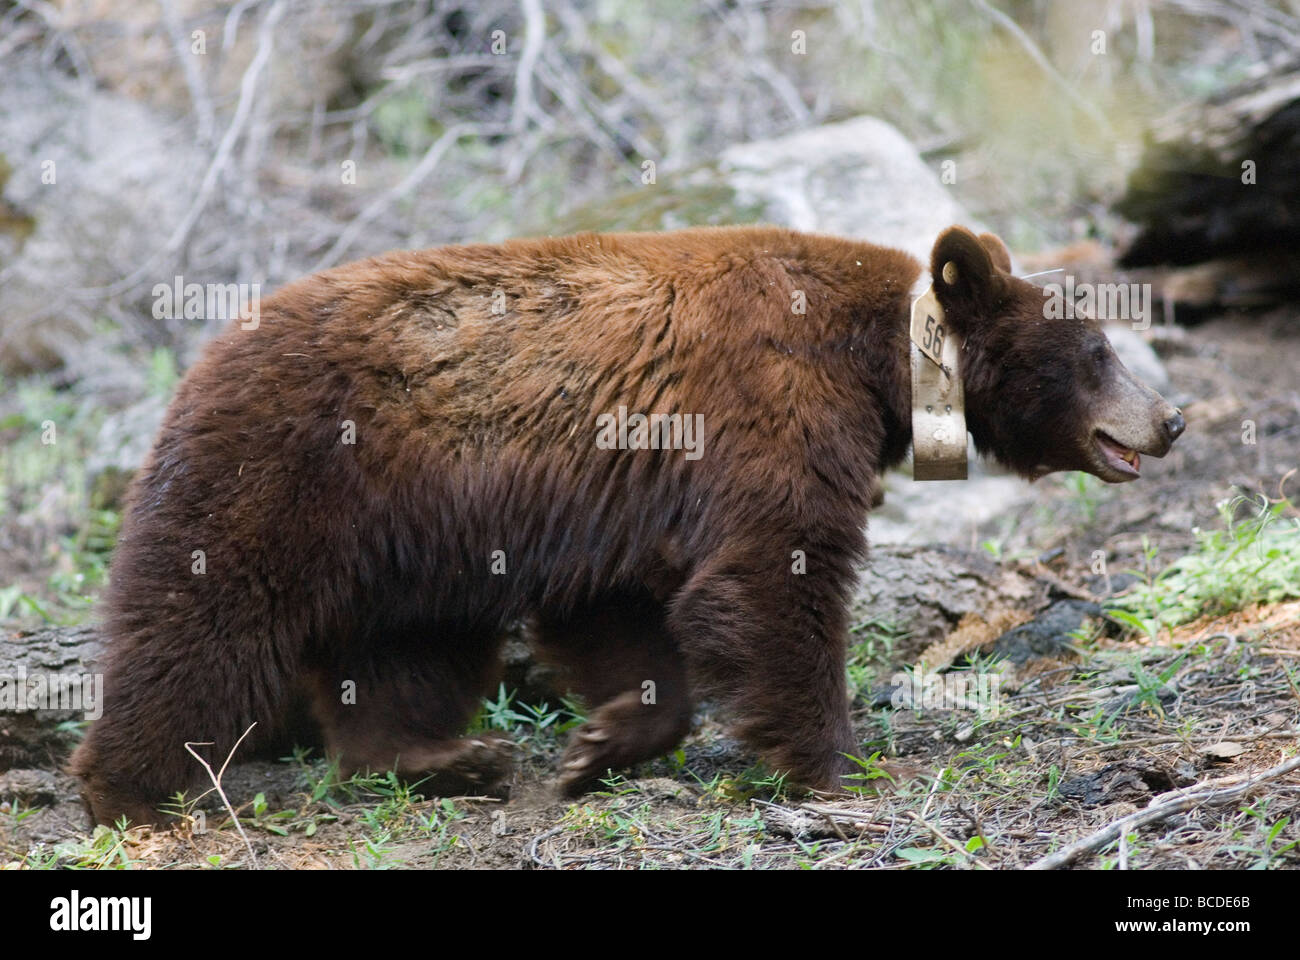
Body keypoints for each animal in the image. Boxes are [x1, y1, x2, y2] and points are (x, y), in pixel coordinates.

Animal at [73, 223, 1190, 822]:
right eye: (1096, 349)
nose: (1170, 418)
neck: (876, 361)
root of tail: (210, 350)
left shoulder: (621, 497)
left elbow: (620, 610)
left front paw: (601, 744)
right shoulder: (768, 400)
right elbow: (771, 571)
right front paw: (830, 762)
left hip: (411, 534)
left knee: (407, 646)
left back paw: (440, 758)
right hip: (289, 468)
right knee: (202, 618)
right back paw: (128, 789)